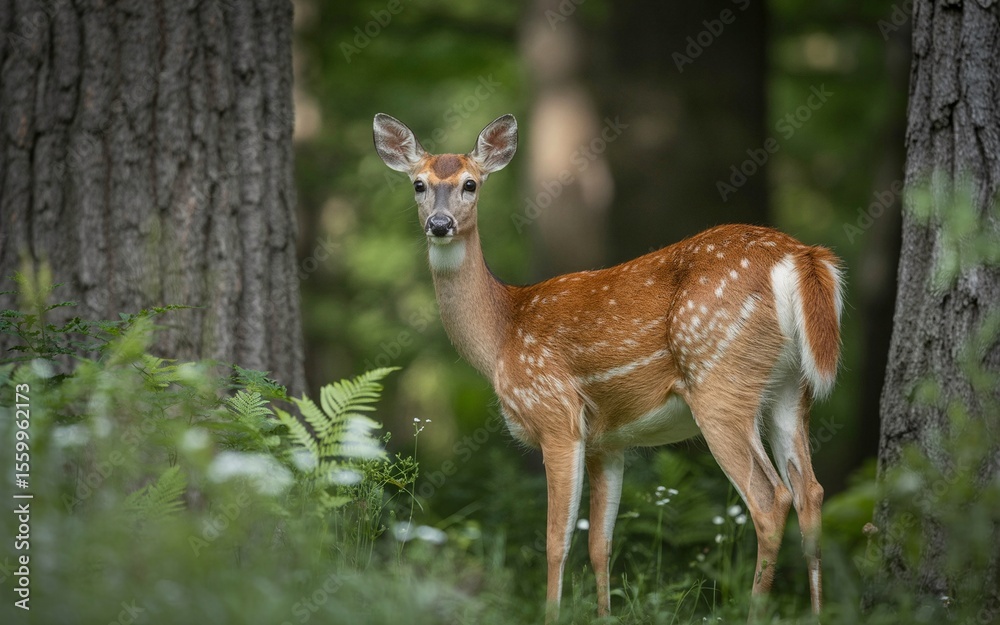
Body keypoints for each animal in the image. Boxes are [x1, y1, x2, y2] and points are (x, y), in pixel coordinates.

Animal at [373, 112, 842, 622]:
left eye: (470, 184)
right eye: (419, 184)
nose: (439, 224)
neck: (501, 334)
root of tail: (801, 256)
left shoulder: (555, 413)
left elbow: (556, 541)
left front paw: (552, 613)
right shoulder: (607, 441)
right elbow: (601, 543)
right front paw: (605, 613)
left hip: (719, 378)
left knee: (771, 498)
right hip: (790, 387)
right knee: (811, 492)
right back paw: (820, 611)